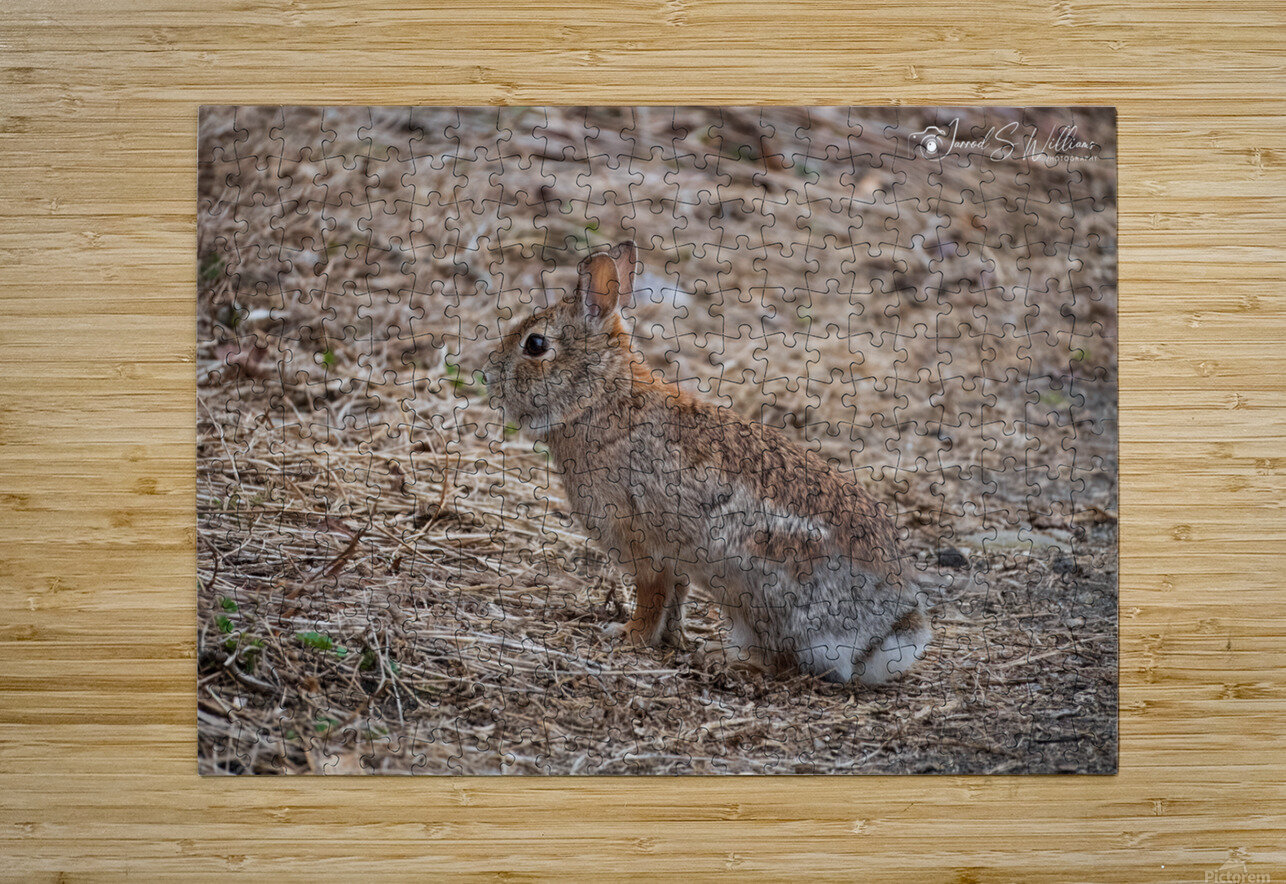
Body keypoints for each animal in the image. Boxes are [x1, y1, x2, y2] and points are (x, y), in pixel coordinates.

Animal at [484, 241, 931, 684]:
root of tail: (886, 629)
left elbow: (652, 595)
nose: (490, 374)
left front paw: (628, 635)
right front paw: (670, 640)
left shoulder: (643, 541)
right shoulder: (676, 557)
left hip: (754, 580)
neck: (599, 398)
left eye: (535, 345)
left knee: (785, 660)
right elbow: (675, 599)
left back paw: (730, 660)